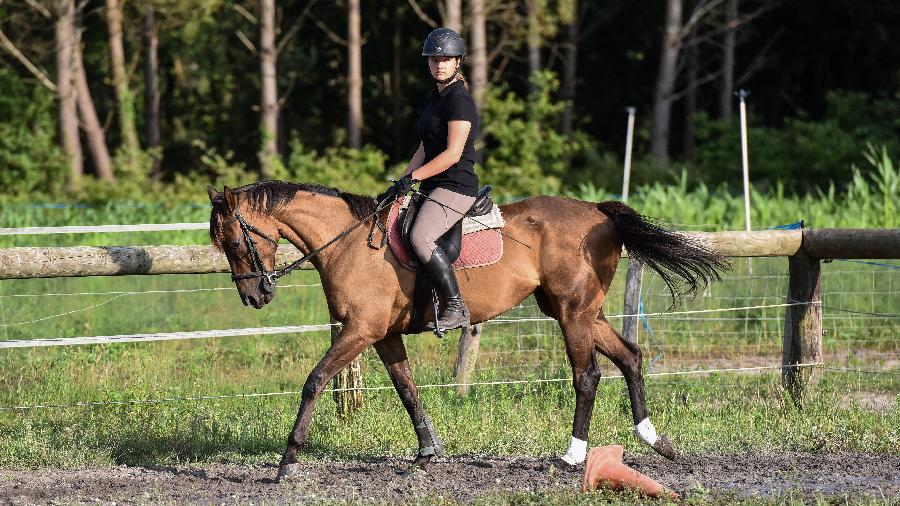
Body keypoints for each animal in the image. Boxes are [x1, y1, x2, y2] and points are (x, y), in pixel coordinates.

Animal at [207, 181, 728, 478]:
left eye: (233, 240)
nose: (255, 297)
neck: (350, 243)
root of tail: (600, 214)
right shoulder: (383, 335)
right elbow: (407, 388)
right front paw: (428, 451)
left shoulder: (359, 331)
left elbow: (314, 381)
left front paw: (287, 460)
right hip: (582, 312)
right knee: (630, 357)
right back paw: (654, 440)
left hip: (573, 314)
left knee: (588, 376)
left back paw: (573, 456)